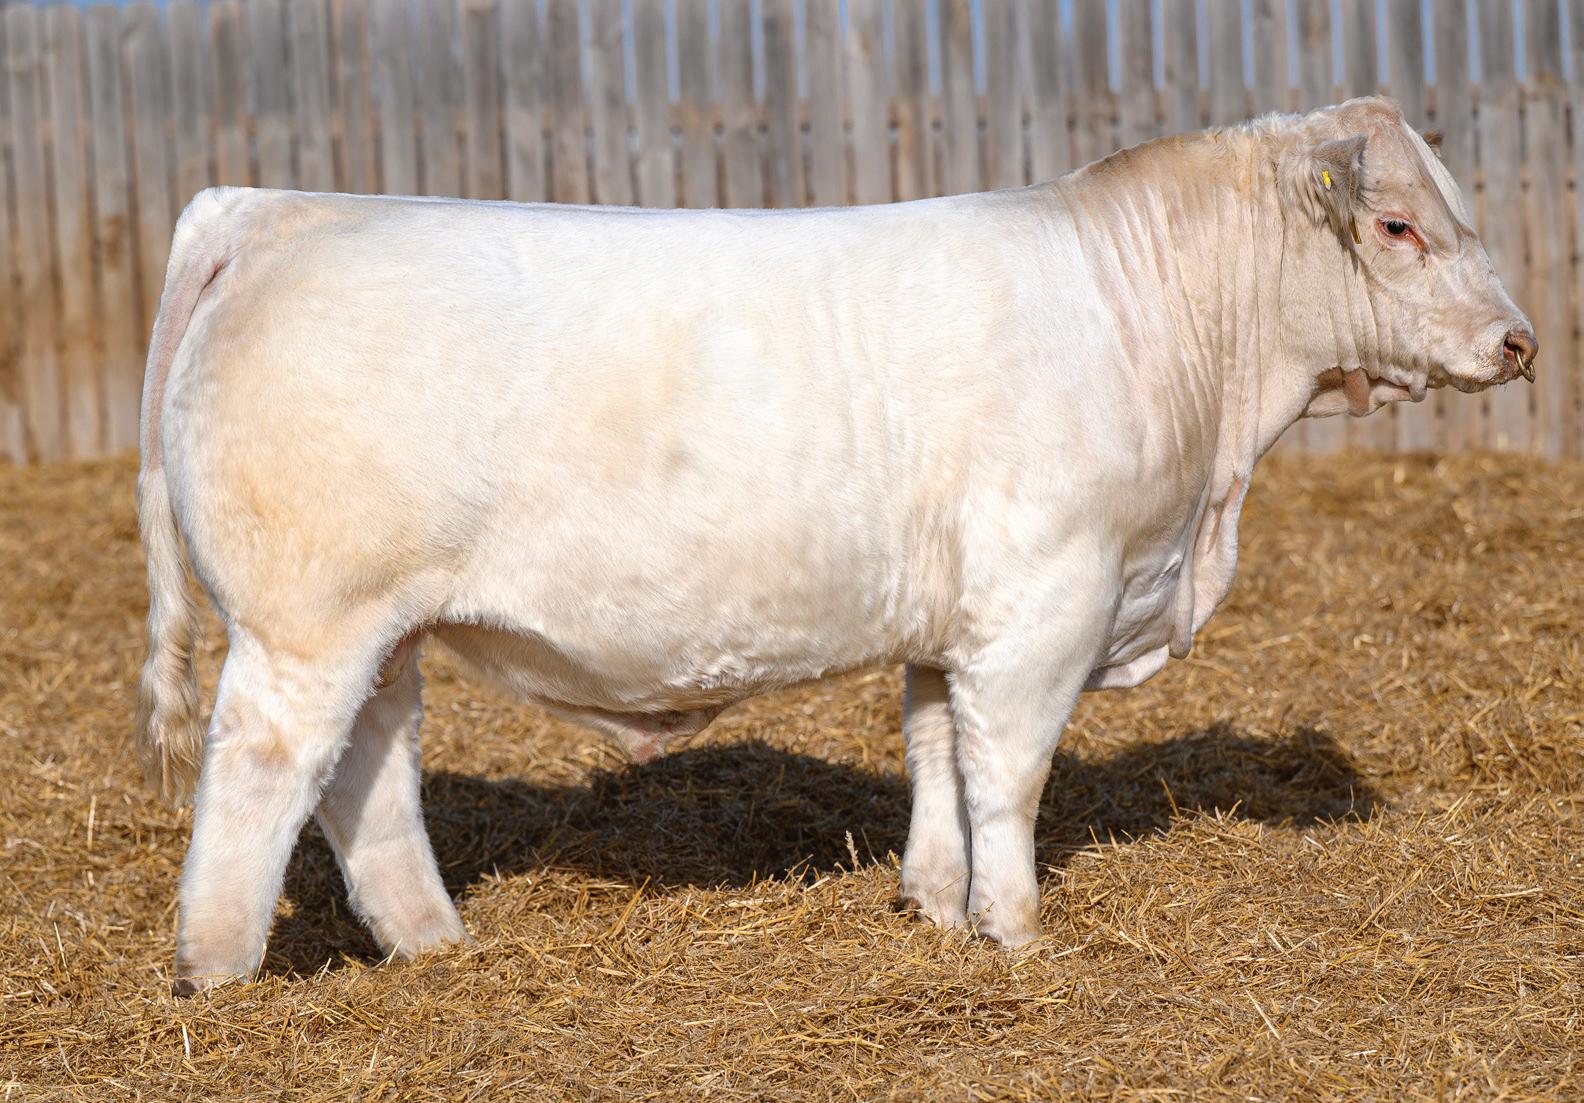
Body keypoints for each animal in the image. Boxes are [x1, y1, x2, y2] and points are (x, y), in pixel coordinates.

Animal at [134, 97, 1534, 993]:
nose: (1519, 342)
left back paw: (434, 944)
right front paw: (1018, 932)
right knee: (259, 773)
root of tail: (270, 210)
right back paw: (221, 973)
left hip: (381, 632)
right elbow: (1009, 771)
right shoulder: (1047, 595)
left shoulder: (953, 616)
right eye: (1400, 226)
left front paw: (934, 903)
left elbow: (934, 751)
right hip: (306, 624)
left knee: (366, 779)